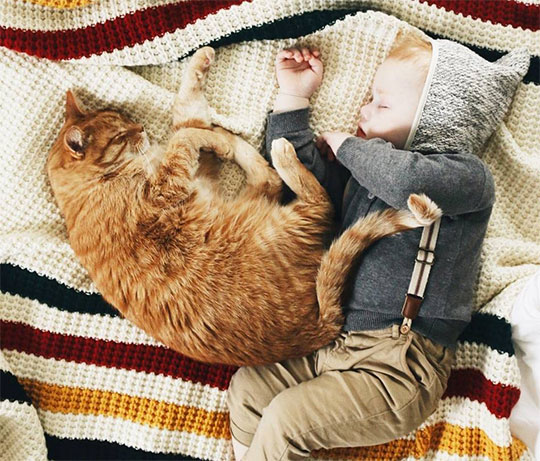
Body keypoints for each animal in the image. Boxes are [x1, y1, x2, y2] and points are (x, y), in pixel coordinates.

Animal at [47, 45, 442, 362]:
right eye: (120, 134)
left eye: (126, 118)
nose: (141, 128)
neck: (98, 182)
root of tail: (318, 330)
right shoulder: (168, 185)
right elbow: (184, 133)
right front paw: (213, 135)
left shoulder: (198, 174)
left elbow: (187, 117)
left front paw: (201, 76)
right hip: (272, 224)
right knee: (316, 199)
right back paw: (279, 151)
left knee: (268, 178)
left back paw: (240, 142)